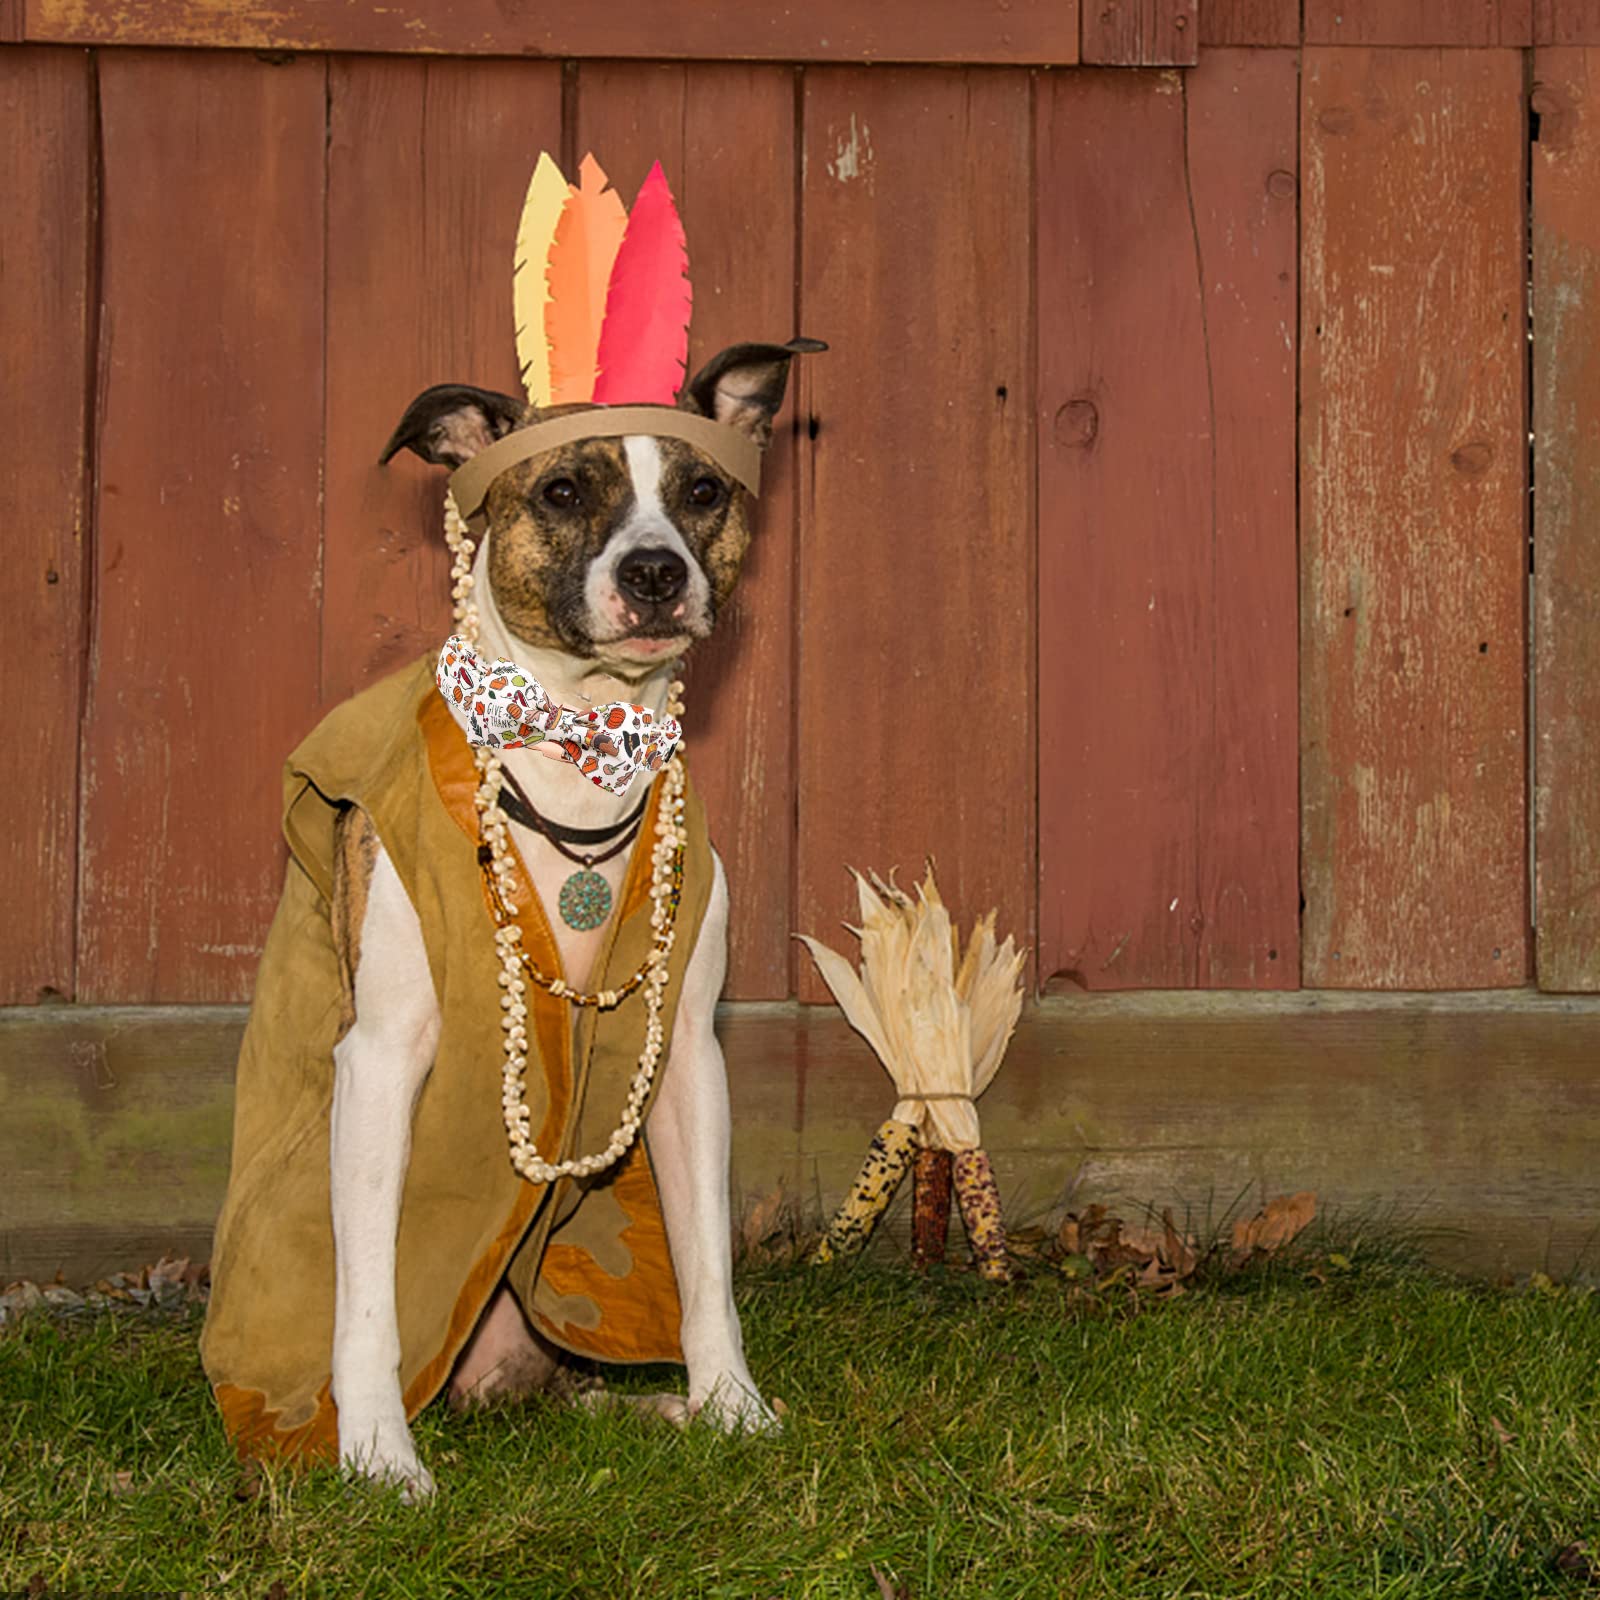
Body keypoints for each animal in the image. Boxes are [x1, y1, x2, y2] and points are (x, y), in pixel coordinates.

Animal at [331, 340, 819, 1497]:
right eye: (561, 492)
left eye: (702, 492)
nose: (656, 573)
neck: (579, 745)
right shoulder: (379, 1060)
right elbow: (367, 1291)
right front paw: (375, 1452)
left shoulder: (686, 1059)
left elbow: (704, 1260)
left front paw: (731, 1405)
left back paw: (660, 1408)